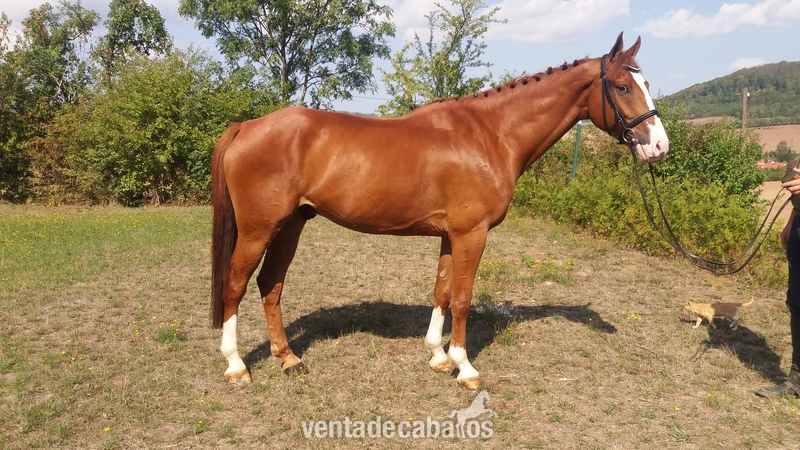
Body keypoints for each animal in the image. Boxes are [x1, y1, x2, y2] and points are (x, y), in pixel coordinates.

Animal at [210, 32, 668, 390]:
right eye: (623, 87)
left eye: (646, 82)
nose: (659, 146)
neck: (491, 134)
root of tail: (245, 126)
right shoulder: (472, 233)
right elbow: (463, 298)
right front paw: (465, 368)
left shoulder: (451, 235)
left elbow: (442, 291)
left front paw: (438, 356)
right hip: (258, 230)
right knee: (235, 284)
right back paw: (236, 365)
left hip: (290, 225)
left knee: (270, 284)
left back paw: (288, 358)